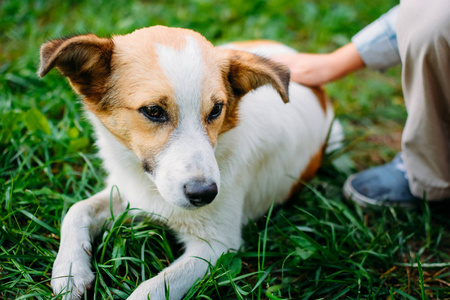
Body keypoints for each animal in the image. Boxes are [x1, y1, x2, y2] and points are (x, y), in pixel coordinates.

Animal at [39, 26, 338, 300]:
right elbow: (76, 210)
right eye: (153, 111)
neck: (150, 188)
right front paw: (70, 270)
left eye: (217, 109)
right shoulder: (125, 191)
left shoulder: (216, 246)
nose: (205, 194)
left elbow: (151, 288)